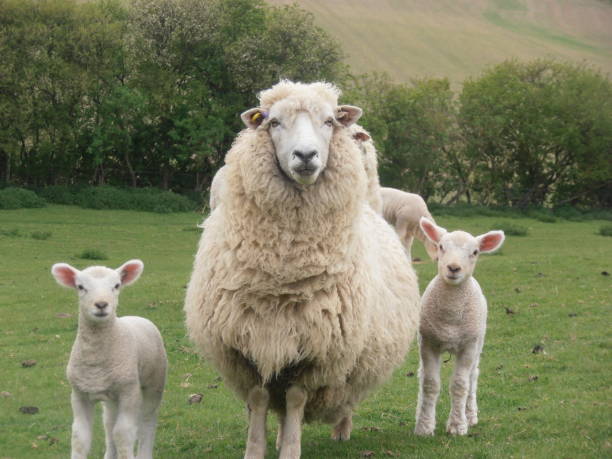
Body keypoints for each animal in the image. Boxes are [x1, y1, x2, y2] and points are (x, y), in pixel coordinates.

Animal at [51, 260, 167, 458]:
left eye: (117, 285)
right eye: (80, 287)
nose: (101, 304)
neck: (96, 360)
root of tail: (136, 317)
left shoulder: (129, 392)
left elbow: (123, 434)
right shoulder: (79, 394)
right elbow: (79, 437)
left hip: (153, 384)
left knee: (147, 422)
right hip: (112, 397)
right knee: (109, 424)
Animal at [183, 81, 420, 458]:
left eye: (329, 121)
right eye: (273, 122)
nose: (306, 156)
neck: (284, 274)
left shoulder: (316, 351)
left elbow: (295, 399)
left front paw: (291, 450)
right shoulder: (249, 345)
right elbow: (259, 398)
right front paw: (257, 449)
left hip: (351, 359)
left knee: (343, 399)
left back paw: (341, 430)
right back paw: (281, 435)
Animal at [414, 219, 504, 438]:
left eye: (475, 252)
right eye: (441, 246)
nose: (453, 267)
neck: (451, 318)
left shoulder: (468, 346)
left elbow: (460, 385)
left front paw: (457, 425)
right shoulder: (428, 343)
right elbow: (429, 384)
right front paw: (424, 425)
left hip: (479, 342)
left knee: (472, 377)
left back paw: (470, 415)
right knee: (422, 375)